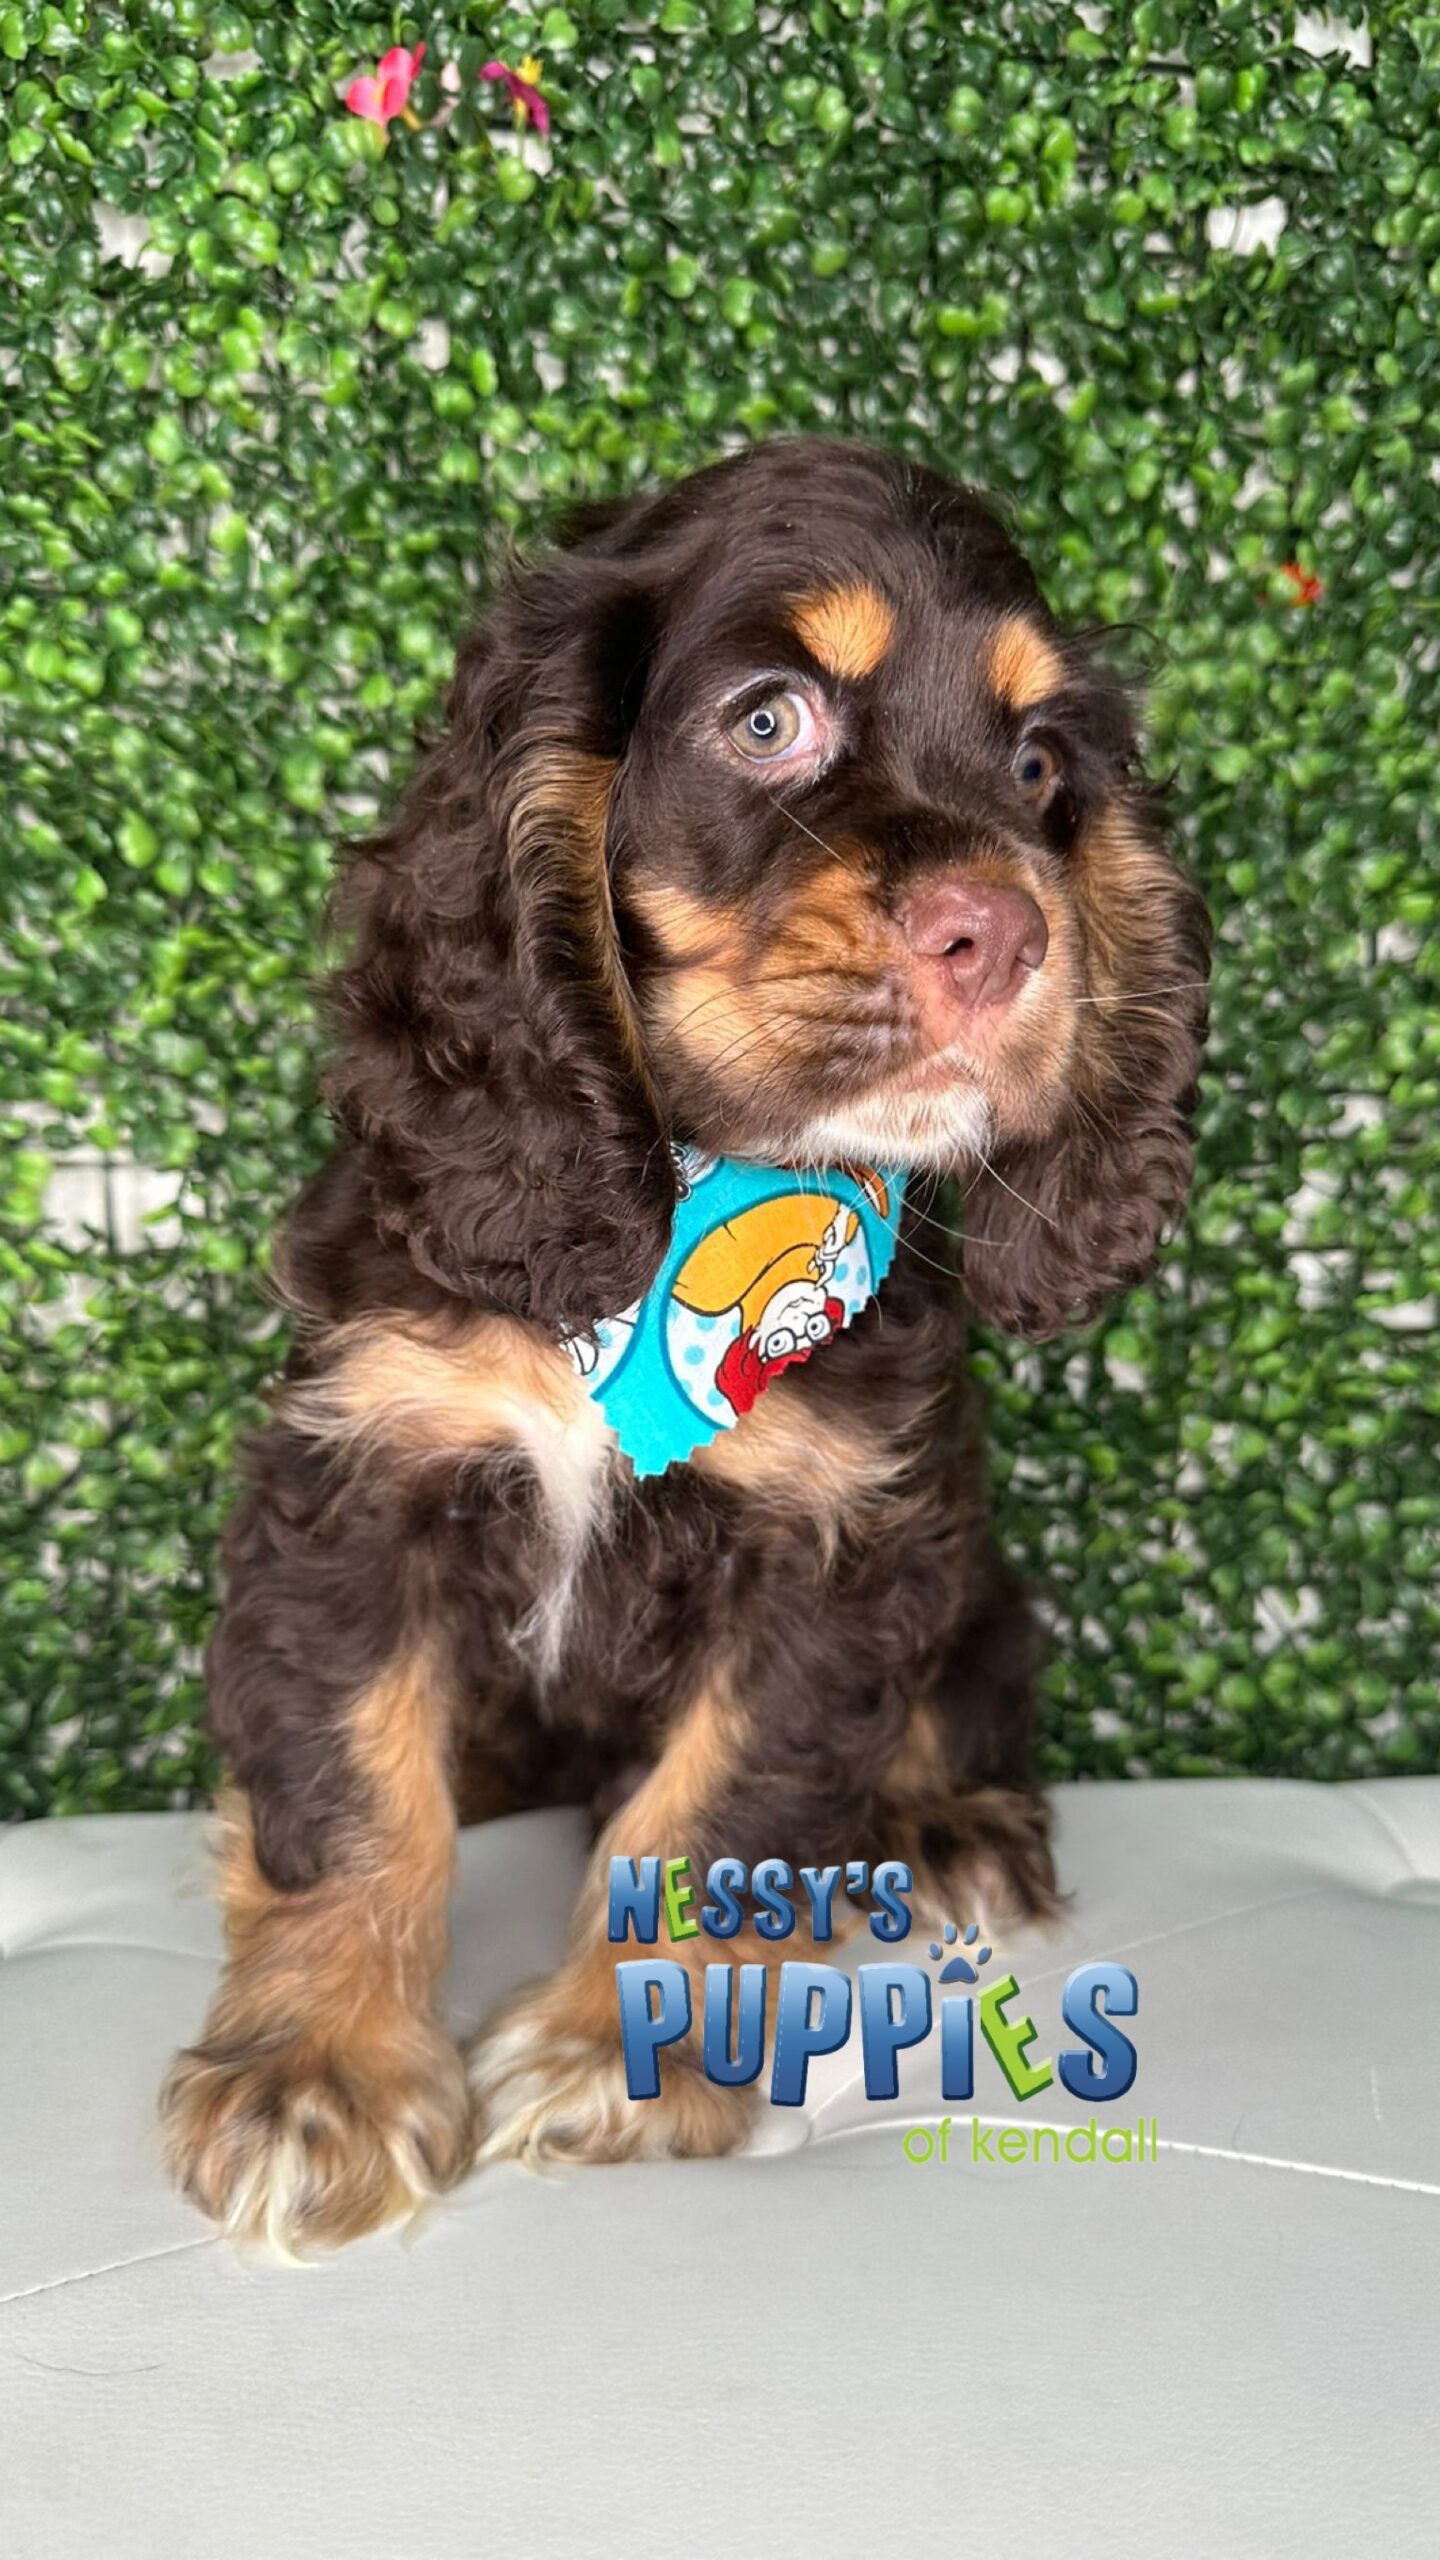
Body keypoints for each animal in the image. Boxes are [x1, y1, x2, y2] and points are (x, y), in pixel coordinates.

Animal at [161, 438, 1210, 2251]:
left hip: (982, 1581)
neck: (682, 1213)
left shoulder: (840, 1551)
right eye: (768, 719)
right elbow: (355, 1791)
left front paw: (617, 2059)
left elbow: (717, 1812)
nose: (1009, 936)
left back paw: (945, 1825)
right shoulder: (359, 1479)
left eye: (1037, 765)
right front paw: (316, 2077)